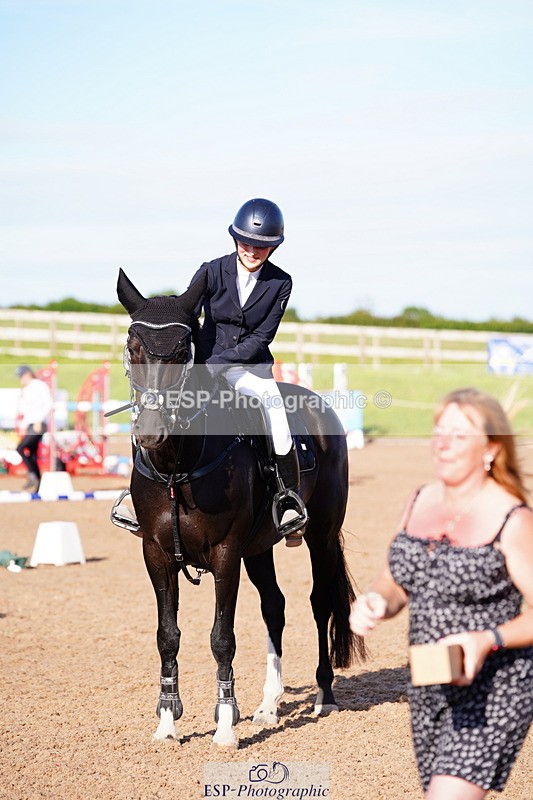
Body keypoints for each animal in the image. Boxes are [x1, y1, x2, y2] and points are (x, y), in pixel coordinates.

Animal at [115, 268, 365, 747]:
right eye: (133, 347)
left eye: (183, 351)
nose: (151, 432)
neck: (178, 465)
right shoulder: (155, 554)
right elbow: (167, 636)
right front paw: (167, 721)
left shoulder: (226, 554)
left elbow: (222, 638)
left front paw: (225, 724)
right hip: (260, 548)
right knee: (275, 607)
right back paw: (268, 706)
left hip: (320, 537)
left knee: (319, 602)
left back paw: (324, 694)